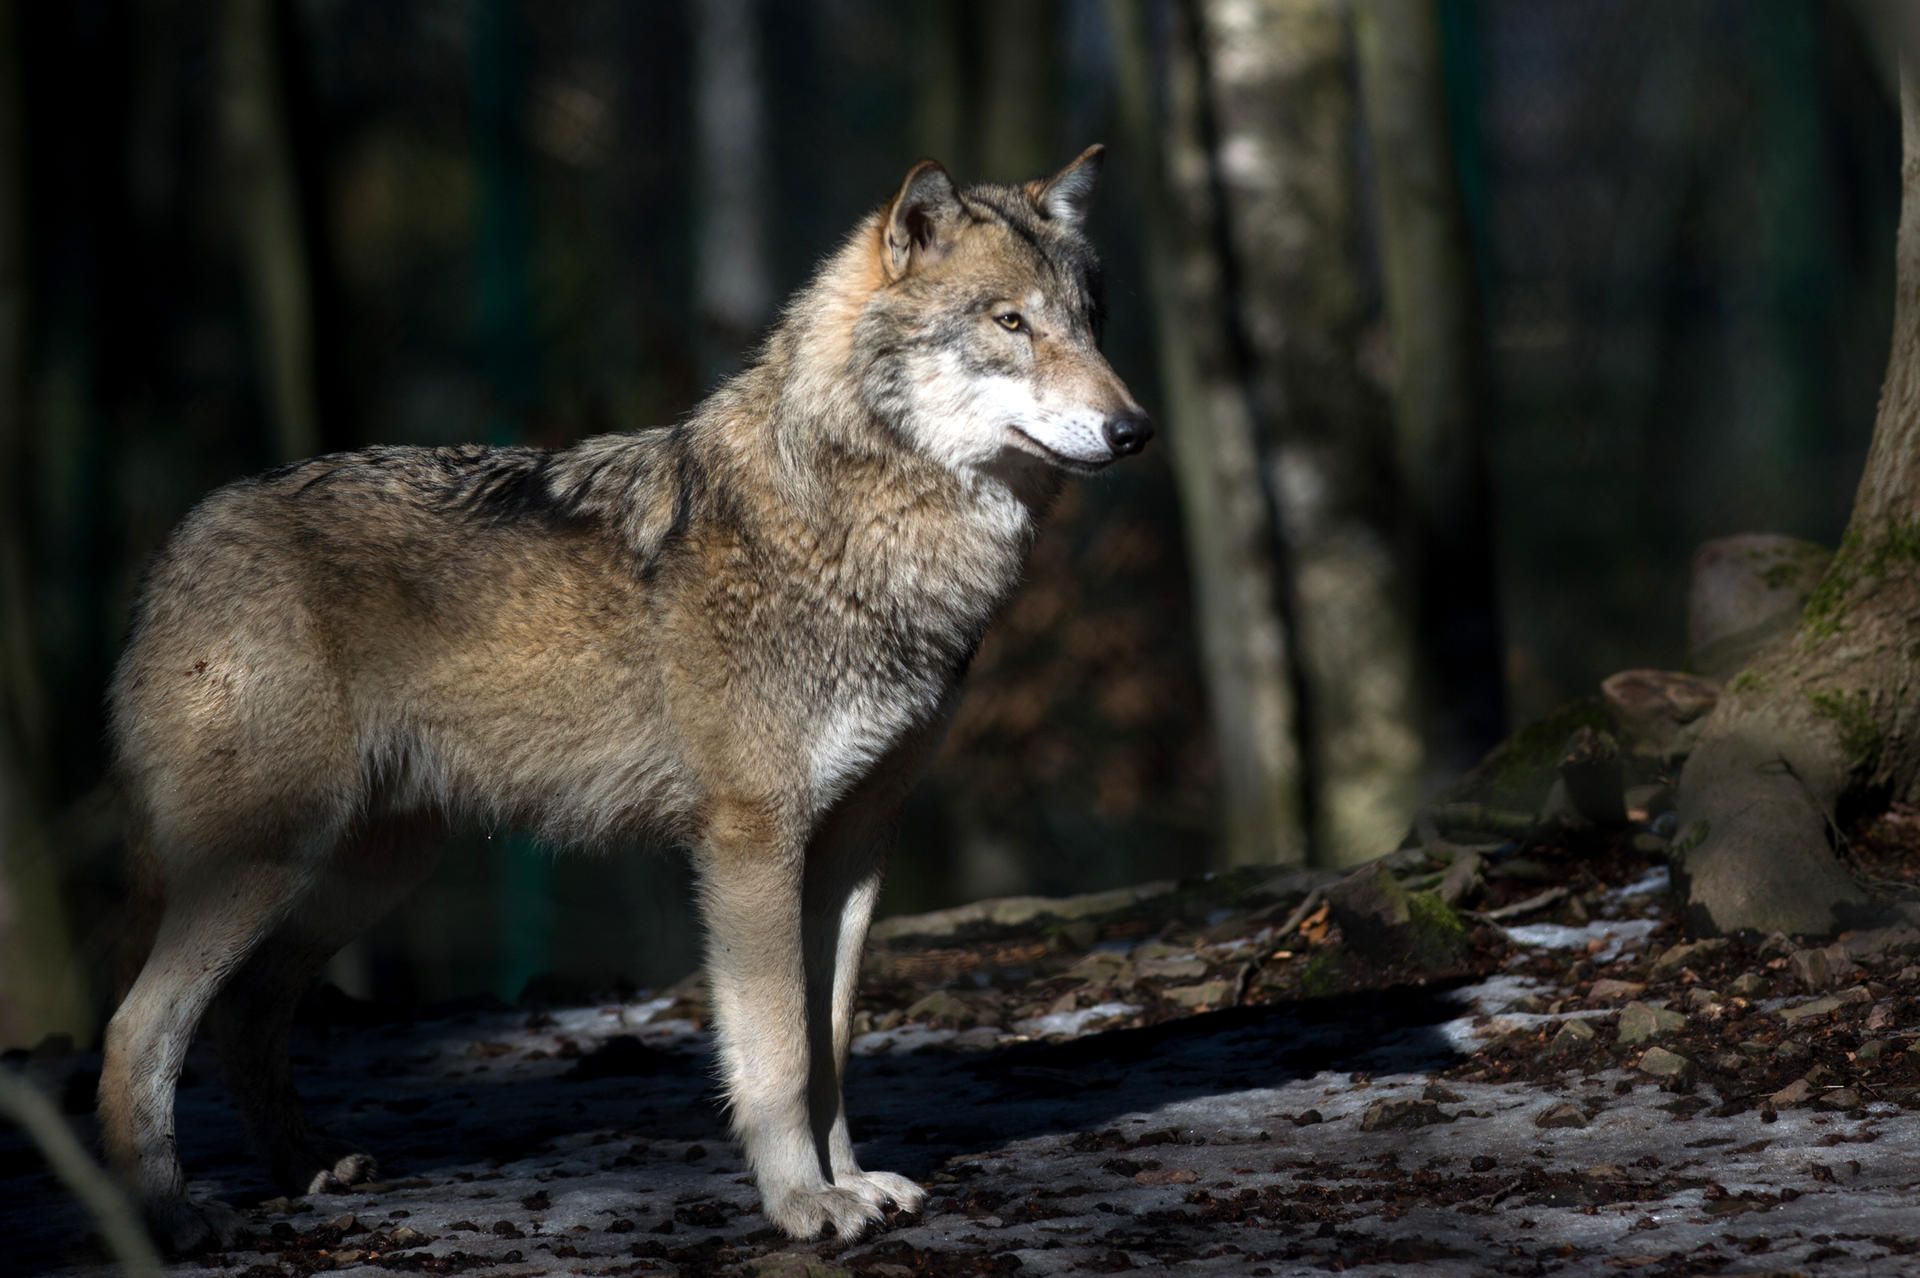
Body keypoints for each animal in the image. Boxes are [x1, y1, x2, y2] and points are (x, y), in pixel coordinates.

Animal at [99, 145, 1149, 1250]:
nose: (1136, 429)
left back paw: (304, 1167)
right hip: (271, 862)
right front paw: (802, 1204)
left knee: (247, 1013)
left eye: (1091, 320)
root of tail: (177, 546)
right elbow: (779, 1055)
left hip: (365, 871)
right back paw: (168, 1214)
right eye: (1010, 322)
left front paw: (853, 1181)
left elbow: (831, 1046)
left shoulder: (857, 847)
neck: (856, 527)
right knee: (136, 1028)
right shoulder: (752, 843)